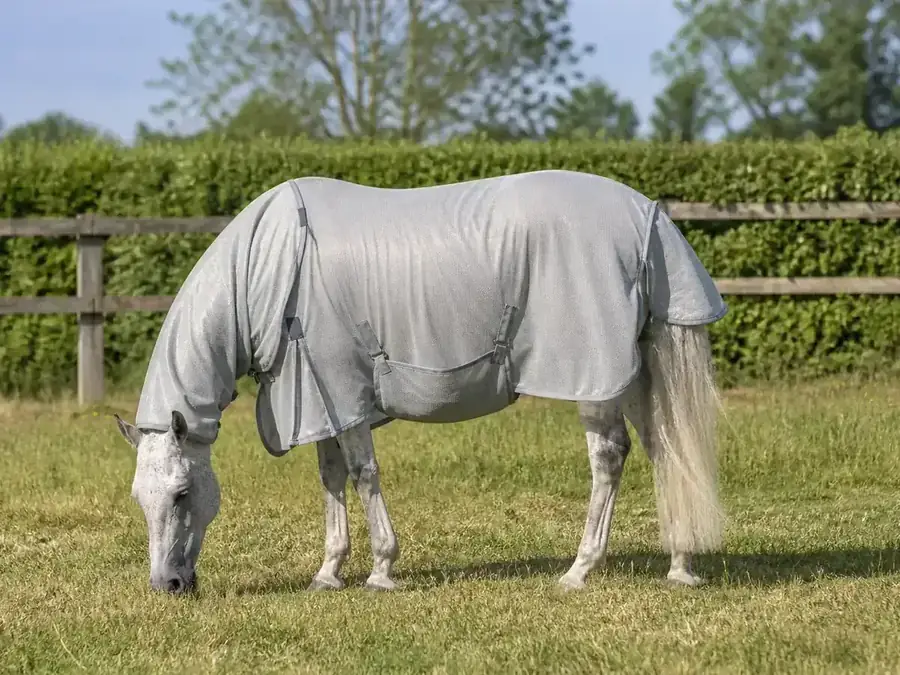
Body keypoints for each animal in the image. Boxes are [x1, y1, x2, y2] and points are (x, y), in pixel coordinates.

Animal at [113, 169, 727, 595]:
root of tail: (648, 217)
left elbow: (362, 474)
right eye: (140, 498)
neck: (271, 268)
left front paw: (381, 570)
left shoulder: (342, 393)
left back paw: (580, 570)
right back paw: (679, 563)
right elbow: (331, 477)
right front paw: (328, 572)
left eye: (183, 492)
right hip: (635, 373)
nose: (168, 586)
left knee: (610, 457)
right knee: (666, 447)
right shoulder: (321, 400)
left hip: (595, 379)